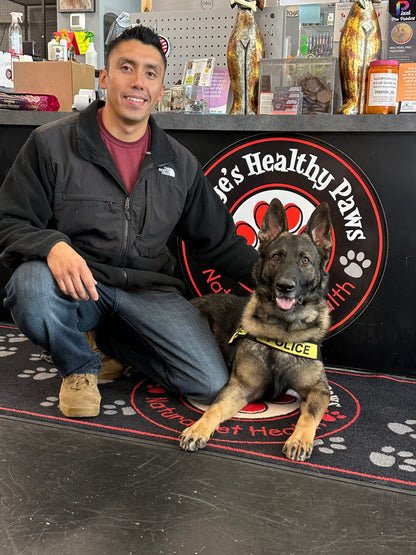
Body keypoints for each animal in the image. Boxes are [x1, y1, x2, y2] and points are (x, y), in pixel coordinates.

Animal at [180, 198, 334, 462]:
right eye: (276, 257)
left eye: (305, 260)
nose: (285, 287)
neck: (283, 329)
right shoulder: (241, 386)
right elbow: (215, 408)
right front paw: (198, 428)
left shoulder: (318, 390)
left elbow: (308, 416)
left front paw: (299, 440)